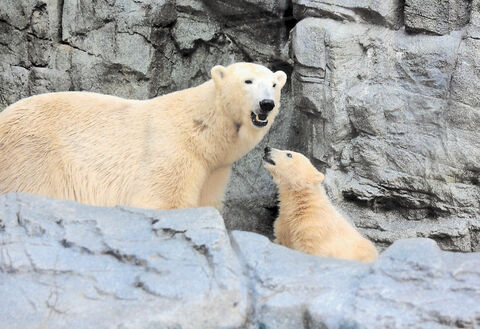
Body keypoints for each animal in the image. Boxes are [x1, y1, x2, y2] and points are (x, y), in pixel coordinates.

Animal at [0, 62, 284, 209]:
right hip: (32, 158)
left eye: (273, 84)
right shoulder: (172, 152)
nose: (266, 104)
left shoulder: (214, 171)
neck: (203, 130)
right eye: (247, 81)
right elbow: (163, 201)